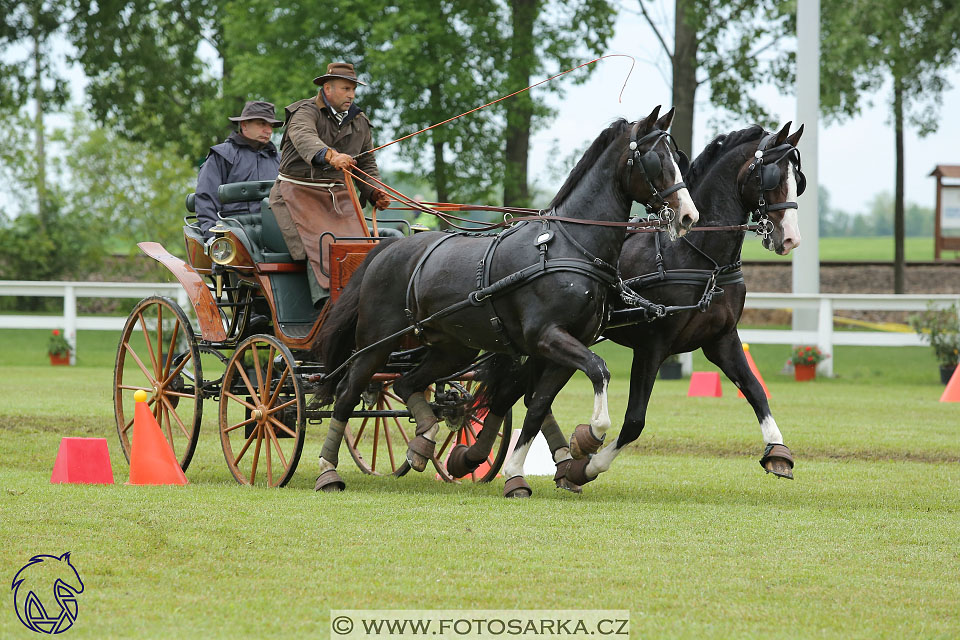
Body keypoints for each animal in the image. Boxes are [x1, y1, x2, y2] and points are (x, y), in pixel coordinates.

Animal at [316, 107, 696, 492]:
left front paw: (516, 470)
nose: (688, 216)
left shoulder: (565, 347)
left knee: (404, 383)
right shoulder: (547, 337)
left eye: (677, 158)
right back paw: (328, 470)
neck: (570, 246)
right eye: (655, 159)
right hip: (376, 343)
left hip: (454, 349)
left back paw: (422, 443)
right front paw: (588, 437)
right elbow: (598, 371)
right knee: (348, 394)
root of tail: (386, 247)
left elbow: (538, 406)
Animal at [458, 122, 804, 492]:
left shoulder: (721, 339)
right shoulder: (652, 346)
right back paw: (482, 456)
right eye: (772, 176)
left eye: (798, 178)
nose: (790, 238)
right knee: (513, 391)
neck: (697, 256)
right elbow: (635, 419)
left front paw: (777, 451)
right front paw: (587, 463)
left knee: (519, 392)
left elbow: (756, 391)